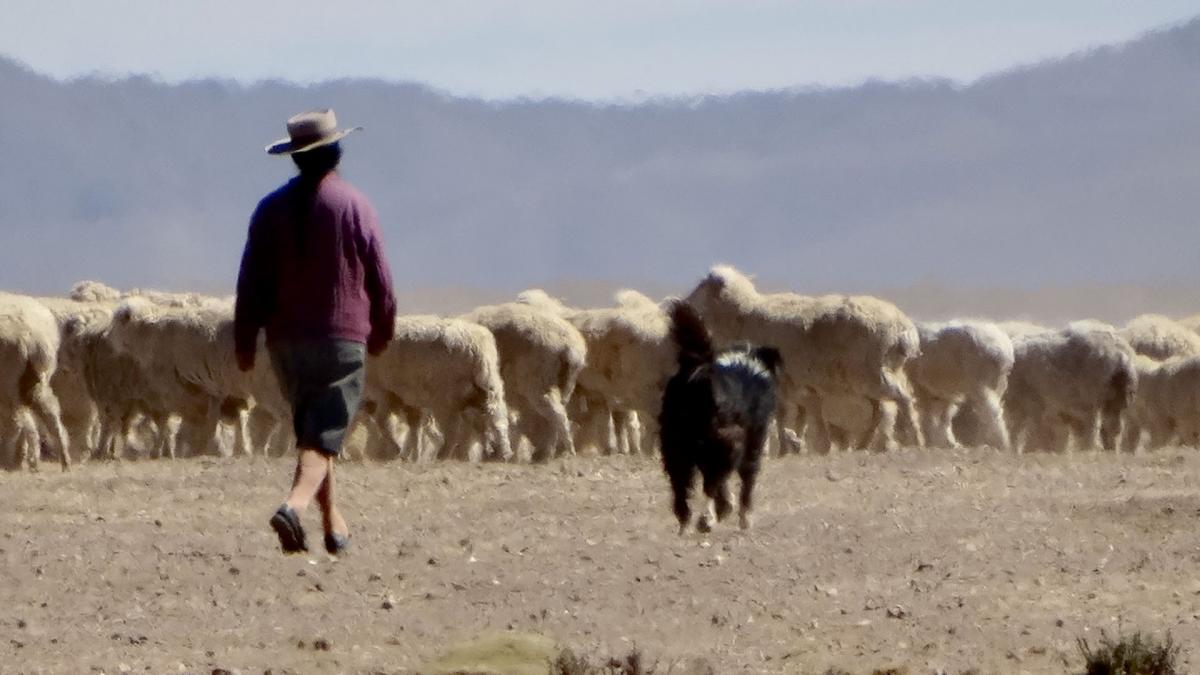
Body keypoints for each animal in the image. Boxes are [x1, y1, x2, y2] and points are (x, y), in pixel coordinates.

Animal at [662, 299, 782, 530]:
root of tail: (702, 373)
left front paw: (726, 506)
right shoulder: (752, 441)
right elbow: (746, 482)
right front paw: (743, 517)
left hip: (676, 445)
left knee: (681, 487)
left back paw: (686, 523)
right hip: (724, 442)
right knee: (711, 483)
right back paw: (706, 519)